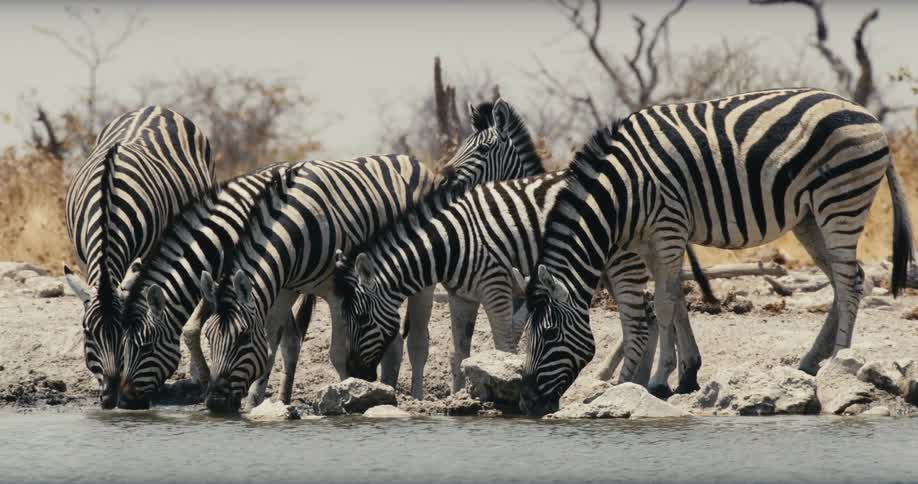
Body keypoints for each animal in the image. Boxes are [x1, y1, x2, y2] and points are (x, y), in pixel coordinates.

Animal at [63, 106, 215, 409]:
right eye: (87, 333)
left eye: (123, 335)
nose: (109, 398)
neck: (108, 204)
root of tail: (156, 108)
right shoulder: (83, 257)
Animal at [116, 162, 315, 409]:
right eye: (123, 344)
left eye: (146, 347)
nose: (124, 402)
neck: (213, 244)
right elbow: (192, 329)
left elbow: (191, 328)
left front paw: (204, 380)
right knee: (291, 339)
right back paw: (282, 398)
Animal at [518, 88, 914, 416]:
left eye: (550, 334)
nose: (527, 402)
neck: (622, 192)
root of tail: (866, 114)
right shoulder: (654, 239)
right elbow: (677, 299)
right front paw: (687, 375)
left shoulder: (667, 228)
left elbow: (665, 304)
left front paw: (657, 382)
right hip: (809, 218)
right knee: (849, 280)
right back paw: (811, 361)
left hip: (839, 201)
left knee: (848, 282)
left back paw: (838, 362)